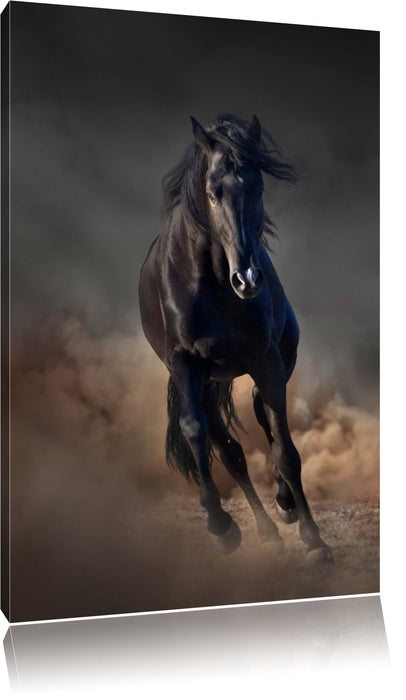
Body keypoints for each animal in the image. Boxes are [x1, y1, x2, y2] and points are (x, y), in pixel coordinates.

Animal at [139, 114, 332, 564]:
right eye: (213, 193)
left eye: (258, 188)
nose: (247, 279)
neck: (211, 282)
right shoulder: (185, 364)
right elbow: (196, 432)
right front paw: (220, 525)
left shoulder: (266, 361)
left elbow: (285, 450)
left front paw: (313, 538)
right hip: (208, 383)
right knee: (230, 452)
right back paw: (264, 531)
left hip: (267, 367)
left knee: (263, 419)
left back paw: (285, 508)